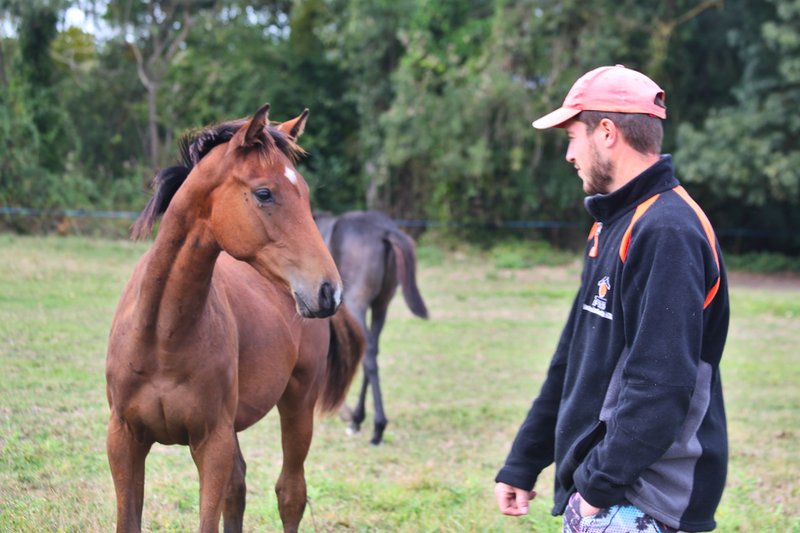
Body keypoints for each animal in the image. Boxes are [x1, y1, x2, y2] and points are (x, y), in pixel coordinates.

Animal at [105, 103, 364, 533]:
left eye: (306, 193)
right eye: (264, 193)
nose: (329, 290)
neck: (161, 338)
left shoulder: (212, 442)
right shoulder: (124, 439)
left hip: (298, 402)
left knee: (290, 493)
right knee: (239, 489)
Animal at [315, 210, 428, 445]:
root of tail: (384, 230)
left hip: (355, 303)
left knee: (367, 354)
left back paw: (377, 427)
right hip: (381, 305)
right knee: (372, 350)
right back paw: (360, 419)